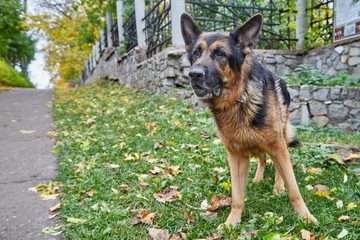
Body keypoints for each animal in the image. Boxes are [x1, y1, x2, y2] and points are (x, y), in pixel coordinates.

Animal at [181, 12, 316, 227]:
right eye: (195, 53)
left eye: (220, 54)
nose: (194, 74)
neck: (238, 100)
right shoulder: (236, 156)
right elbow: (237, 196)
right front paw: (232, 222)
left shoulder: (277, 146)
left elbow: (294, 189)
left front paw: (306, 217)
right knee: (262, 159)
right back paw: (259, 177)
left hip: (280, 139)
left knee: (279, 167)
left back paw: (278, 187)